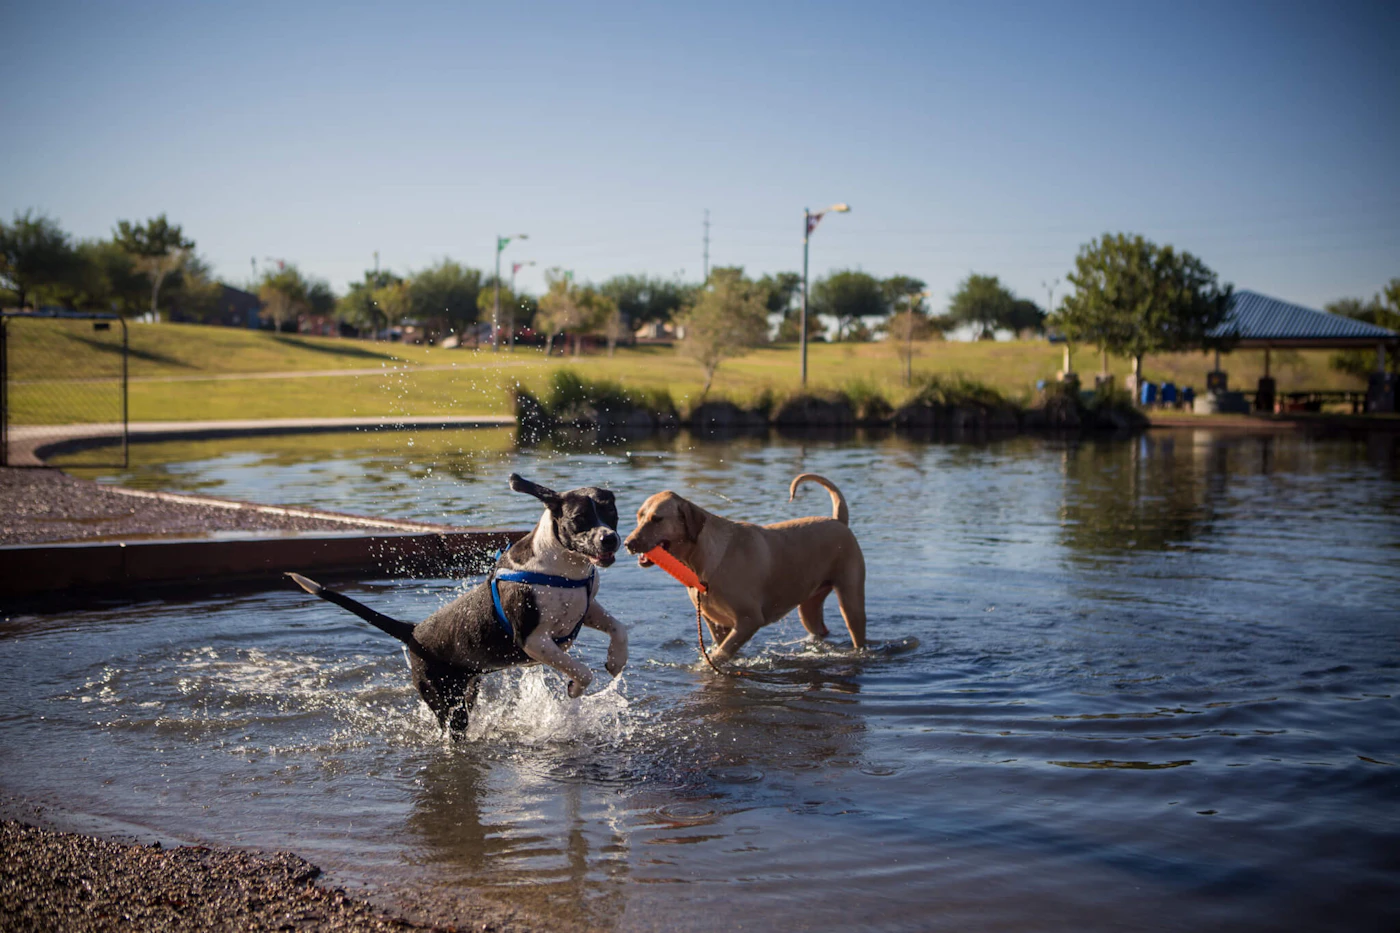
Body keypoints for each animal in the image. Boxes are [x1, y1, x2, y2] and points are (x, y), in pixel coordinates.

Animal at [289, 473, 630, 734]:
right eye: (579, 519)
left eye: (611, 513)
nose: (610, 539)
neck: (563, 565)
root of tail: (413, 633)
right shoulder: (533, 640)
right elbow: (582, 671)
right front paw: (574, 687)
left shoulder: (585, 608)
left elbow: (618, 627)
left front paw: (616, 661)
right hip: (446, 701)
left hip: (468, 688)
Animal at [624, 473, 862, 661]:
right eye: (639, 516)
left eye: (657, 519)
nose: (627, 543)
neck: (703, 561)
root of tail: (838, 520)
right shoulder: (716, 623)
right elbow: (721, 648)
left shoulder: (749, 620)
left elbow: (718, 656)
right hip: (809, 608)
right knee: (820, 630)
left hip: (850, 601)